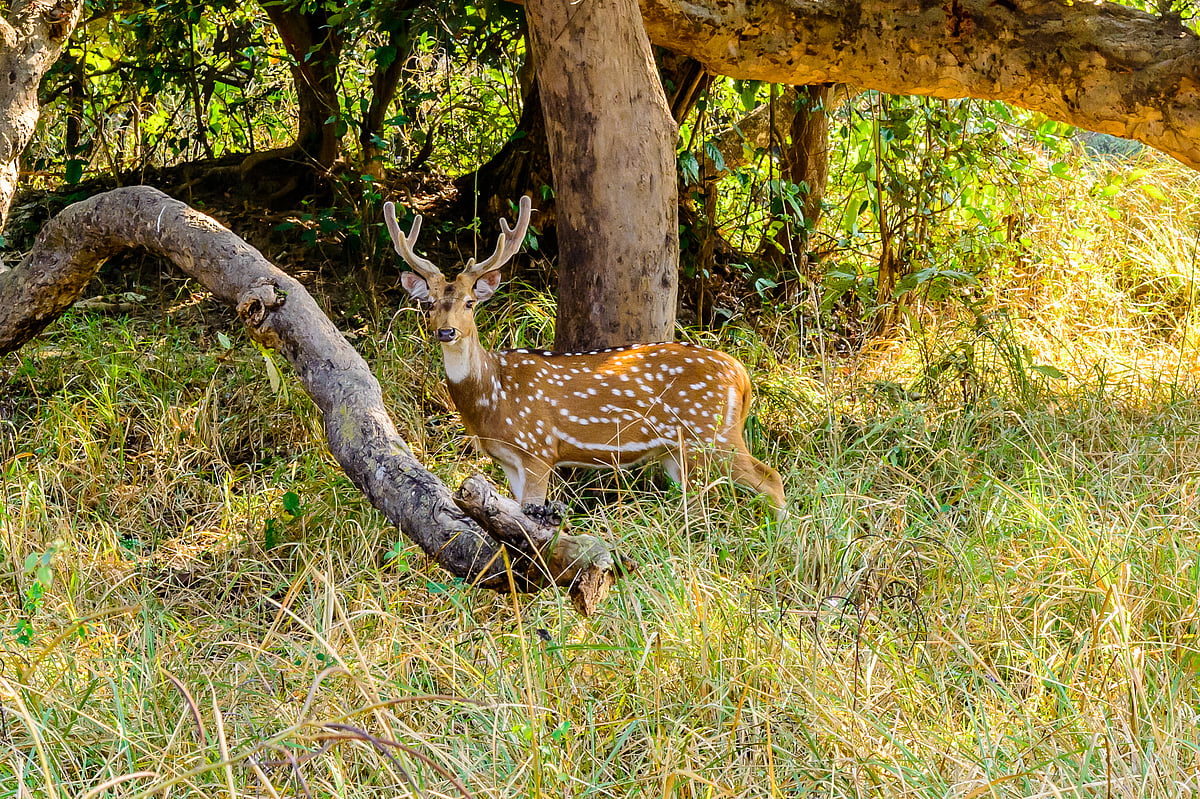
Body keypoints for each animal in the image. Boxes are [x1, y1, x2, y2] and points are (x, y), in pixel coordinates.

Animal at [383, 195, 787, 520]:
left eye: (470, 303)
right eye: (429, 304)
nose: (446, 332)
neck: (493, 396)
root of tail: (742, 376)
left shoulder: (538, 448)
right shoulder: (508, 460)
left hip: (712, 432)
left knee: (771, 477)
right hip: (679, 450)